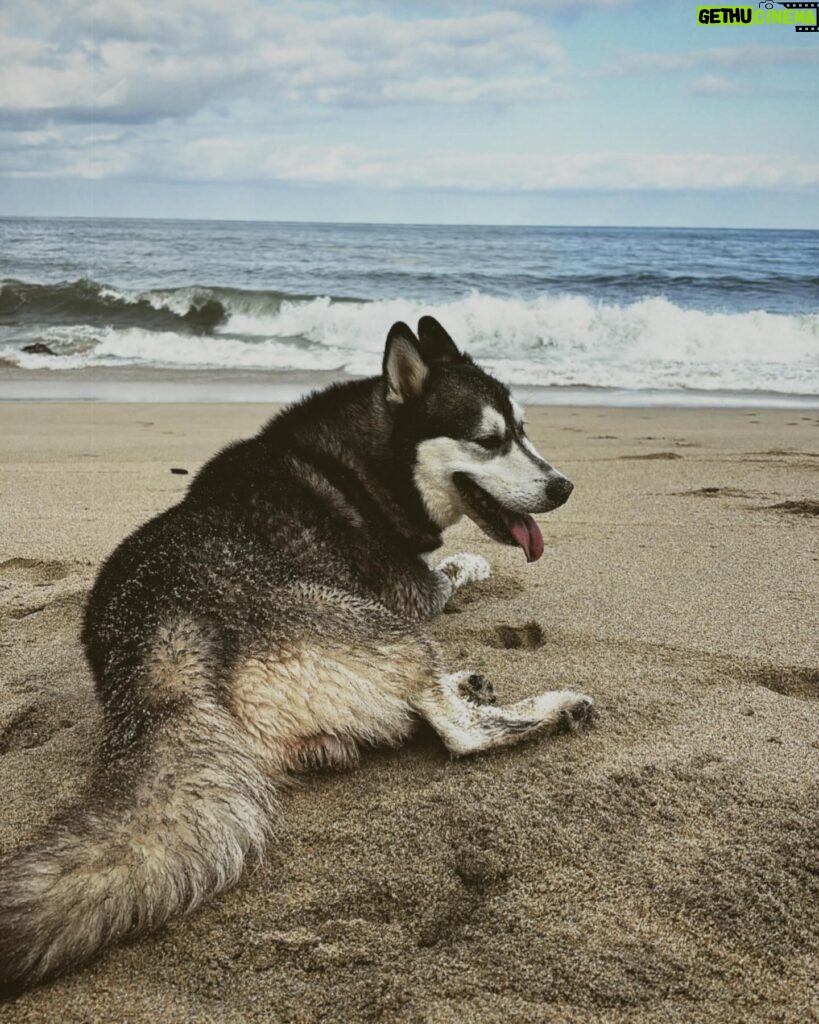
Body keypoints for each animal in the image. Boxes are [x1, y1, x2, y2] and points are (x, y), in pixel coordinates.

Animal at [0, 317, 593, 991]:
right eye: (489, 440)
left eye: (524, 430)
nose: (563, 487)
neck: (363, 463)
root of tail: (161, 641)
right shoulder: (412, 597)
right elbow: (454, 568)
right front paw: (473, 564)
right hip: (382, 626)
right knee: (457, 730)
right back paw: (551, 707)